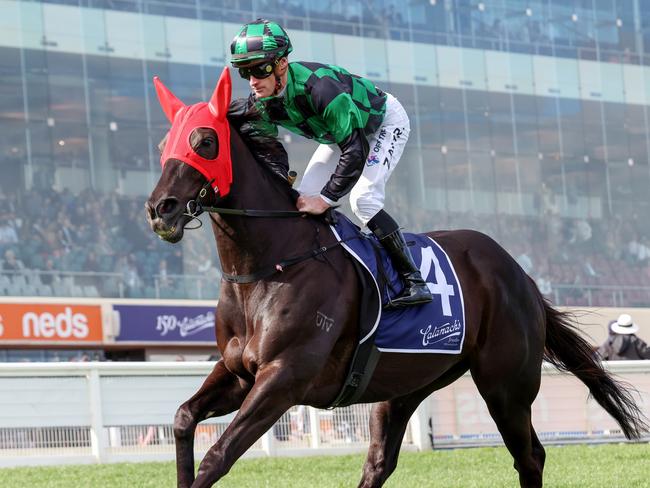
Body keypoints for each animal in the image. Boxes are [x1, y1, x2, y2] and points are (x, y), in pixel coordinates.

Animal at [143, 68, 644, 488]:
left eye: (205, 141)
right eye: (164, 144)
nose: (159, 209)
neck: (268, 265)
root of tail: (520, 274)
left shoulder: (284, 376)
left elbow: (218, 456)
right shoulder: (238, 372)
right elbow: (183, 419)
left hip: (506, 385)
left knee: (530, 456)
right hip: (405, 384)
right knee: (380, 463)